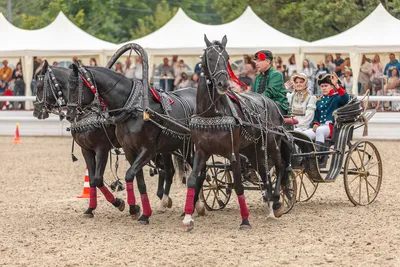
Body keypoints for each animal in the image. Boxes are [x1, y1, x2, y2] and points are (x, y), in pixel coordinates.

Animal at [67, 64, 202, 224]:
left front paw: (130, 207)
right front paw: (141, 212)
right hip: (171, 147)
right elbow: (138, 181)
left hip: (187, 147)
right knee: (170, 171)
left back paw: (194, 206)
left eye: (75, 87)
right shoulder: (125, 150)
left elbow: (123, 176)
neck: (131, 109)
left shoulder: (140, 149)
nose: (69, 114)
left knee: (197, 172)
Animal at [182, 36, 290, 232]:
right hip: (254, 151)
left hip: (272, 144)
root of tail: (272, 104)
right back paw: (271, 207)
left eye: (226, 57)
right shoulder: (201, 151)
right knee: (265, 176)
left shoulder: (232, 153)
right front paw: (187, 219)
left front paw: (245, 220)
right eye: (209, 58)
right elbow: (193, 180)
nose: (223, 84)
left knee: (280, 167)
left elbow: (239, 185)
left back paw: (277, 203)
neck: (212, 114)